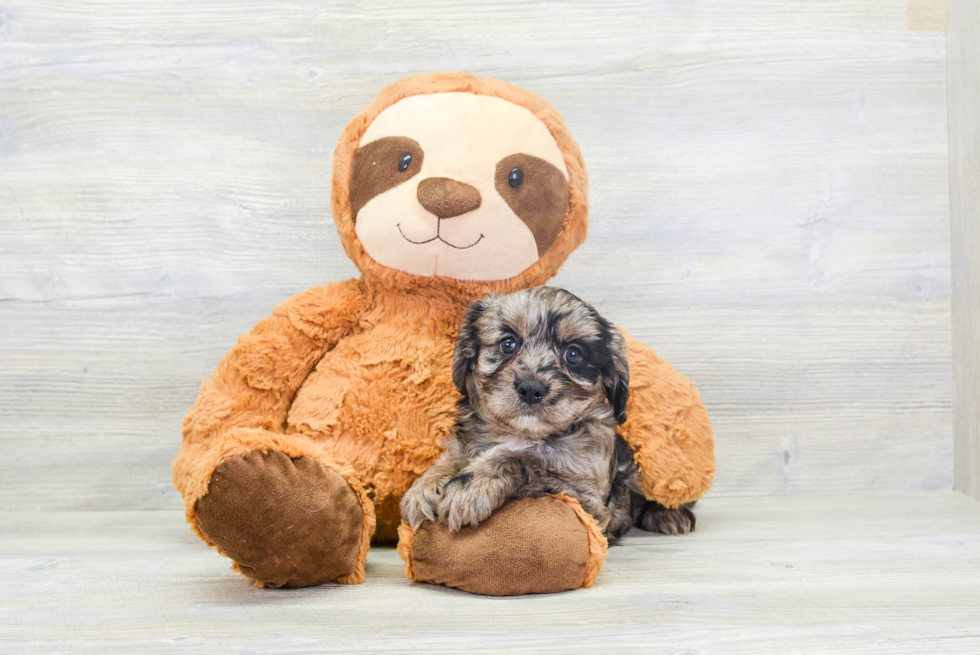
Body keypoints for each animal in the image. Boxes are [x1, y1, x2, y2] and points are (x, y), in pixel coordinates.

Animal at [400, 288, 696, 544]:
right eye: (508, 344)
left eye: (573, 354)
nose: (531, 389)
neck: (523, 433)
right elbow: (454, 457)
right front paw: (426, 486)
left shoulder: (586, 497)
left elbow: (527, 461)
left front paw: (470, 486)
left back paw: (669, 516)